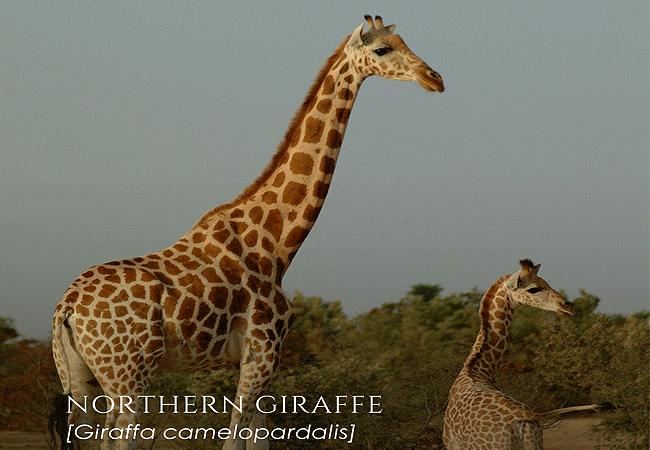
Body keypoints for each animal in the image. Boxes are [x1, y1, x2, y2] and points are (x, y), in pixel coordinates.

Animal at [50, 15, 444, 450]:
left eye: (405, 41)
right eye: (382, 50)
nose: (435, 79)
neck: (278, 243)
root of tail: (67, 307)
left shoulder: (258, 359)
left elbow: (259, 437)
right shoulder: (262, 351)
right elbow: (236, 437)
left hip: (80, 376)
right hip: (129, 375)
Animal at [442, 259, 600, 450]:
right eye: (533, 288)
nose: (568, 307)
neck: (477, 370)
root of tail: (523, 418)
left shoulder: (451, 444)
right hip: (535, 443)